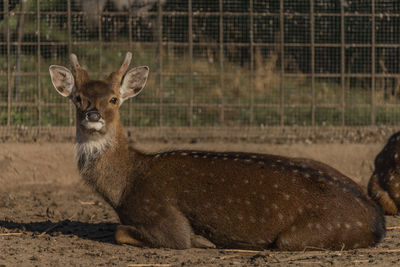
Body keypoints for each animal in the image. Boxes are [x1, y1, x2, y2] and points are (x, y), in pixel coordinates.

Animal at [48, 52, 386, 251]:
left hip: (299, 236)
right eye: (78, 98)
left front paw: (203, 240)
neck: (125, 186)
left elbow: (128, 232)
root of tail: (377, 220)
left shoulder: (164, 218)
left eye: (114, 99)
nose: (93, 115)